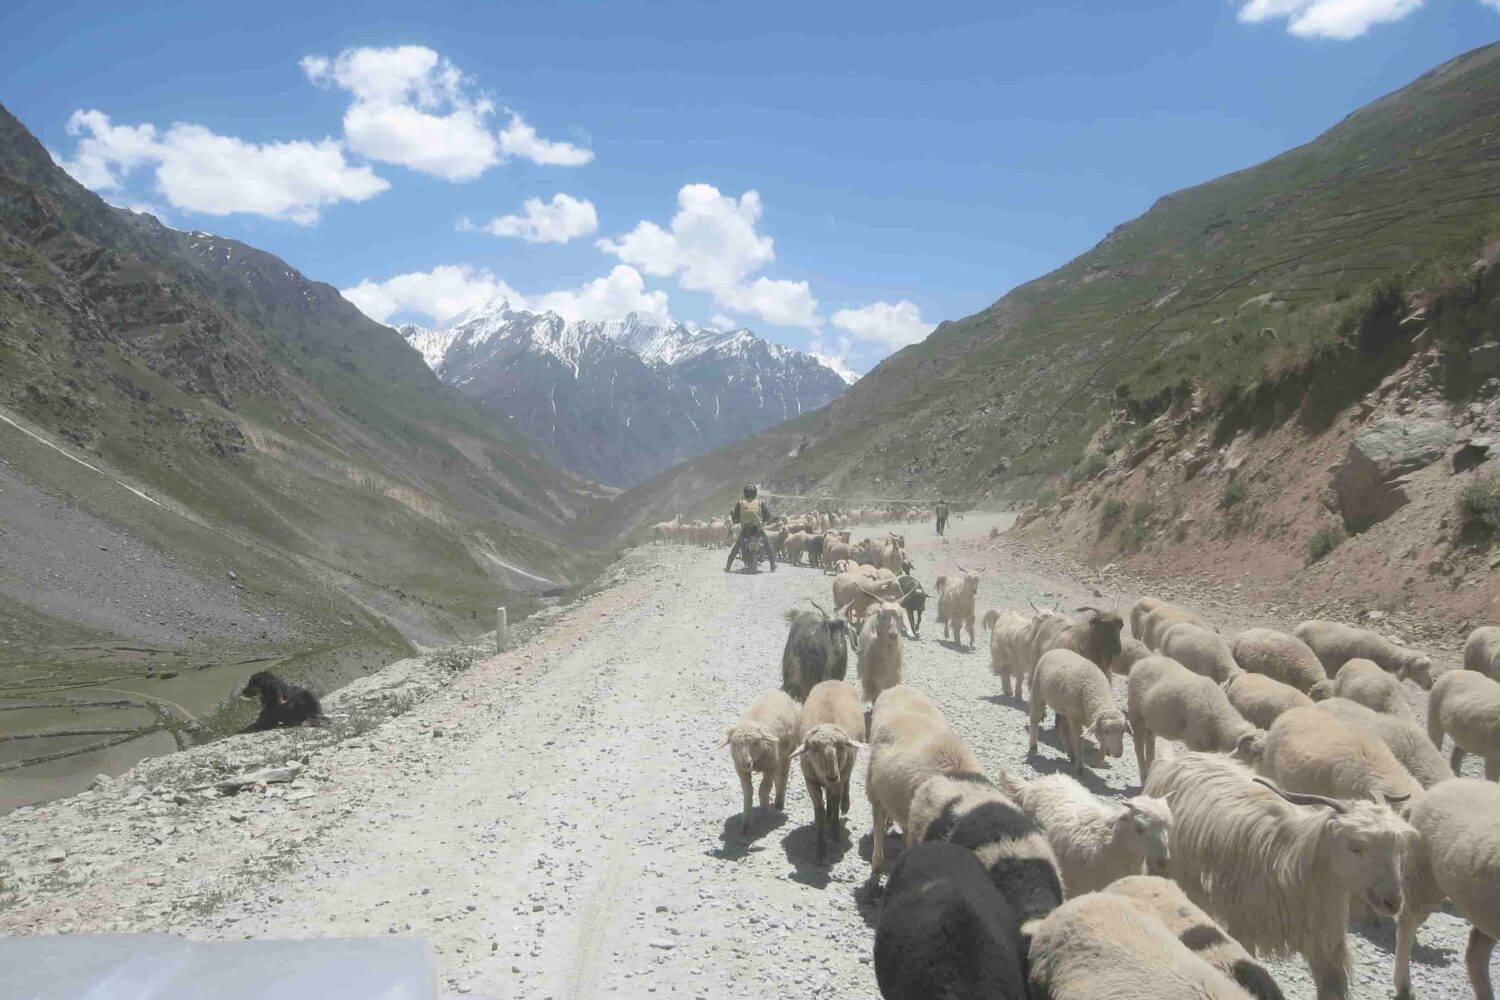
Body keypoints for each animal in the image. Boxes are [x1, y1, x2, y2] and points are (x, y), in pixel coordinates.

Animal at [724, 690, 798, 834]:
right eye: (735, 744)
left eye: (756, 742)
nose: (746, 763)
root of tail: (779, 691)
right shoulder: (740, 769)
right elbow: (748, 793)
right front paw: (746, 823)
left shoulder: (770, 766)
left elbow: (764, 789)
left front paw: (765, 812)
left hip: (788, 752)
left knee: (783, 775)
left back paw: (779, 802)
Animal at [790, 681, 865, 864]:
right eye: (815, 750)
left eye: (840, 746)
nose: (832, 775)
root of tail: (833, 680)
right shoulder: (810, 781)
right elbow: (820, 812)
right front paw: (820, 849)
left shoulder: (839, 777)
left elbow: (836, 801)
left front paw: (835, 834)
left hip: (847, 768)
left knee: (846, 783)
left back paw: (844, 805)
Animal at [1126, 655, 1265, 778]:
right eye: (1255, 753)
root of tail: (1140, 662)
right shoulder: (1195, 741)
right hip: (1136, 714)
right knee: (1138, 744)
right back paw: (1144, 776)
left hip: (1151, 720)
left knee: (1149, 740)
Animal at [1145, 751, 1417, 1000]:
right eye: (1355, 846)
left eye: (1399, 848)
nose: (1393, 901)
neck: (1290, 861)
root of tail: (1180, 756)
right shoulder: (1242, 928)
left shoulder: (1326, 945)